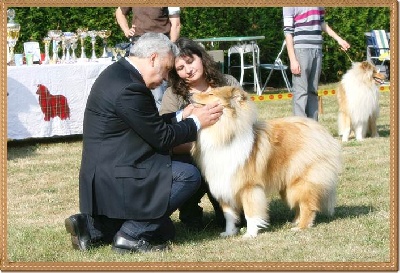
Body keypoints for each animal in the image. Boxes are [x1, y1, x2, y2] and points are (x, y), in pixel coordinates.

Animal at [190, 86, 340, 237]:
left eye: (210, 94)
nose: (190, 94)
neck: (223, 134)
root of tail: (318, 129)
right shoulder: (223, 184)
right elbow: (229, 215)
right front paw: (229, 233)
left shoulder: (249, 187)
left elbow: (250, 213)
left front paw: (250, 234)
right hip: (287, 186)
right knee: (298, 203)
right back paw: (294, 222)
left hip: (300, 181)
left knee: (307, 204)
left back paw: (301, 227)